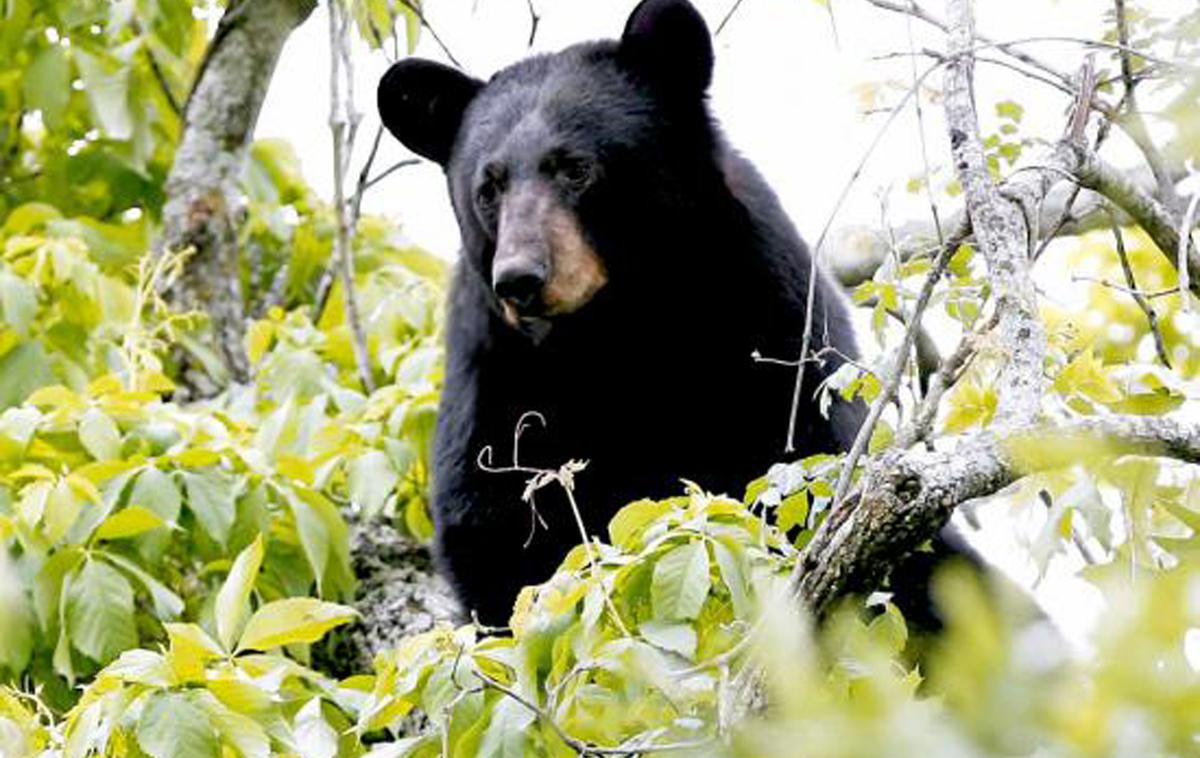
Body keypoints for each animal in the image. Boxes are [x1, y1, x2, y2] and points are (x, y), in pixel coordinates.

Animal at [374, 0, 864, 628]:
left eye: (575, 168)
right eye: (488, 187)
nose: (520, 279)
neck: (617, 331)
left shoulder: (769, 316)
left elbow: (805, 456)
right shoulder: (494, 373)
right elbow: (493, 531)